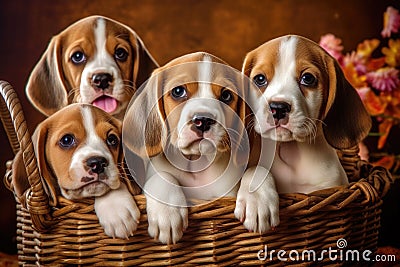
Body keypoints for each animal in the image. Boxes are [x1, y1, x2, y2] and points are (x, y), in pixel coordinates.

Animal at [123, 52, 266, 245]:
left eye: (226, 96)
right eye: (178, 92)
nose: (203, 120)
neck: (196, 165)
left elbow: (256, 170)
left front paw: (258, 203)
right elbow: (164, 176)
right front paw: (167, 213)